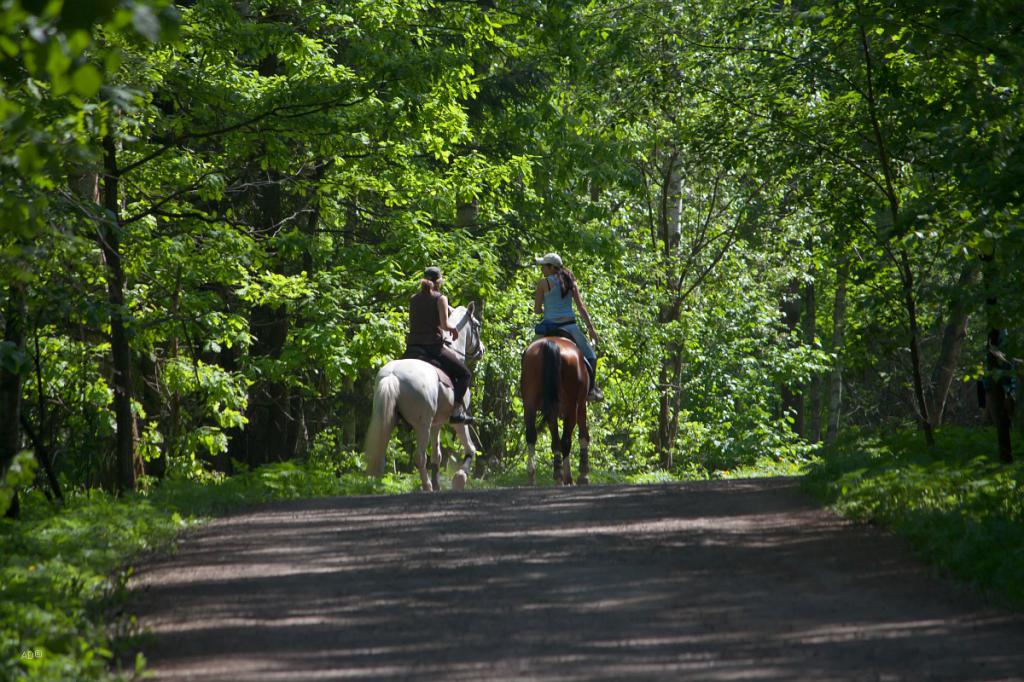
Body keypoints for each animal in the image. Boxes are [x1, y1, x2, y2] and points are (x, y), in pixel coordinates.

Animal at [364, 303, 483, 489]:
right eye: (477, 325)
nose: (481, 350)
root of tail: (393, 376)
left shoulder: (437, 423)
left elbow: (437, 456)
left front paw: (438, 484)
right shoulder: (458, 421)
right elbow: (470, 448)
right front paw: (459, 478)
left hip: (388, 420)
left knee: (380, 454)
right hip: (422, 426)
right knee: (420, 458)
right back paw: (427, 487)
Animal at [524, 333, 589, 483]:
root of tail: (550, 344)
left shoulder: (551, 412)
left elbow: (555, 442)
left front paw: (558, 473)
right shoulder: (581, 404)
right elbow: (583, 434)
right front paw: (583, 474)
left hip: (529, 402)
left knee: (531, 435)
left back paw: (531, 476)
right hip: (571, 406)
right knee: (566, 440)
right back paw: (568, 478)